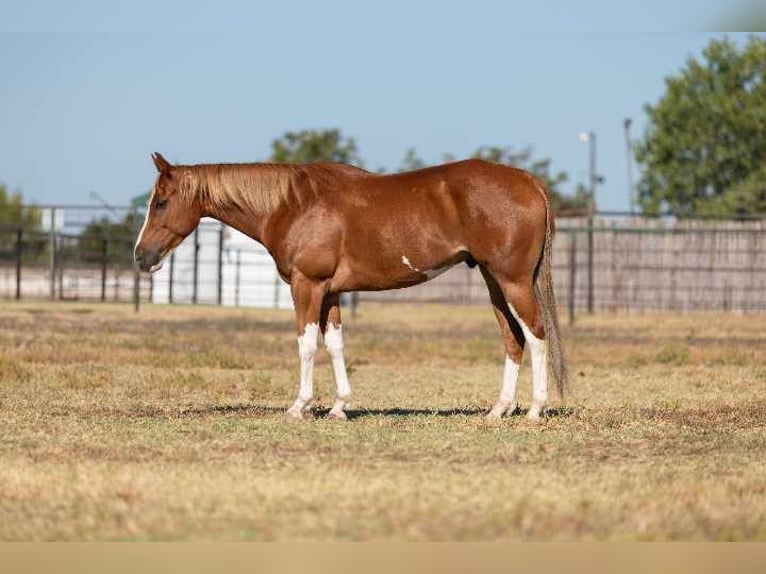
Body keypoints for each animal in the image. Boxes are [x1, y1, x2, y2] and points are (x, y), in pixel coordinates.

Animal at [134, 152, 568, 421]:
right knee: (513, 338)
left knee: (536, 334)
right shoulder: (330, 292)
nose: (141, 256)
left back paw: (534, 409)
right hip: (494, 282)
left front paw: (300, 406)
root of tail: (528, 181)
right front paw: (339, 406)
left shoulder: (307, 286)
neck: (292, 204)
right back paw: (499, 409)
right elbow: (335, 345)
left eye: (160, 202)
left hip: (512, 281)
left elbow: (307, 344)